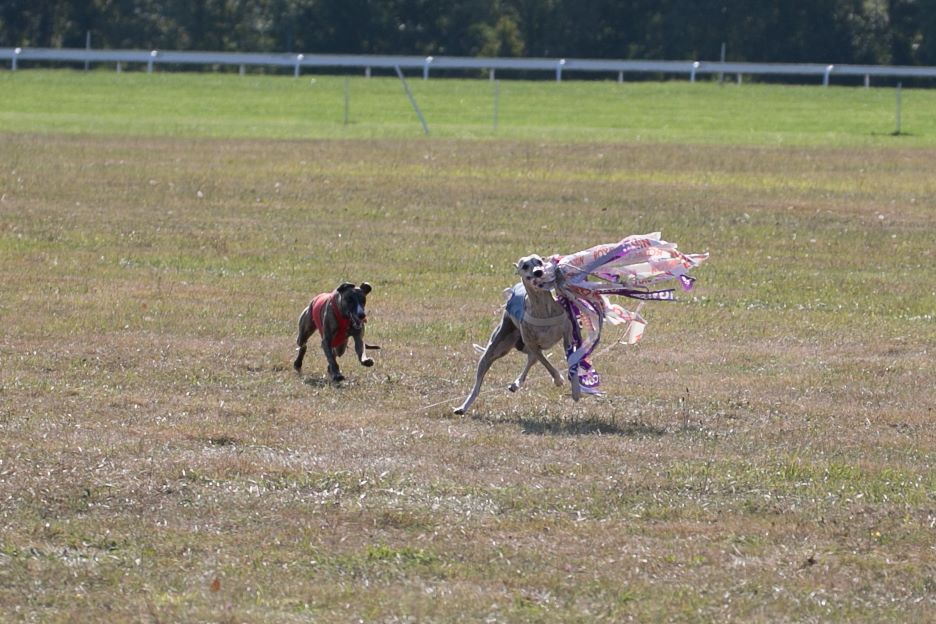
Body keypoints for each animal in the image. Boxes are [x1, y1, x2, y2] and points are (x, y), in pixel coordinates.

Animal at [452, 254, 576, 414]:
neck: (543, 308)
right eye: (525, 266)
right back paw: (463, 407)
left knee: (531, 360)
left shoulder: (567, 336)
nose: (538, 272)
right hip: (493, 350)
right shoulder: (532, 344)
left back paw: (516, 384)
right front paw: (558, 379)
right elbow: (547, 364)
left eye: (539, 261)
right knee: (477, 385)